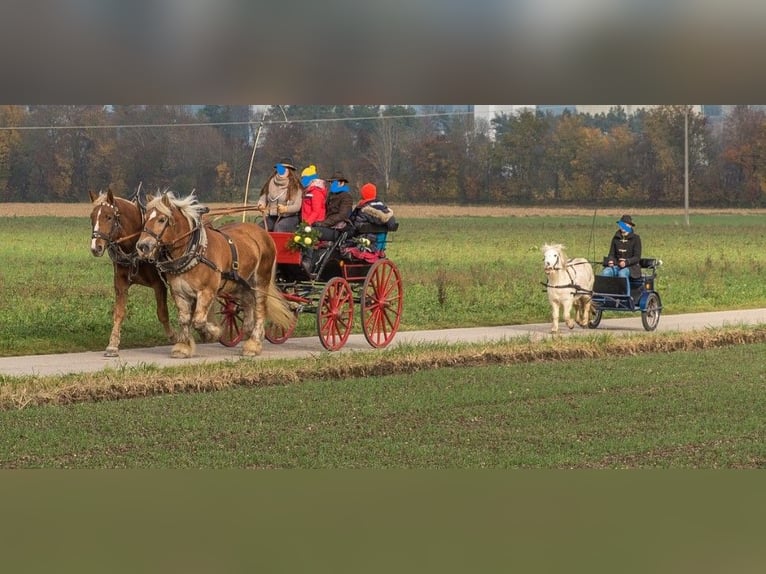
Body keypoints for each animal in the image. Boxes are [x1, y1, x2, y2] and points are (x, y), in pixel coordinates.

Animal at [89, 189, 177, 356]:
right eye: (92, 217)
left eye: (109, 217)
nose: (95, 247)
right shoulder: (120, 283)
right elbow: (119, 312)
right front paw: (112, 344)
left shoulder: (159, 284)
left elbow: (162, 313)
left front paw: (174, 338)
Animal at [135, 191, 294, 358]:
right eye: (145, 218)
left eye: (161, 219)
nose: (142, 246)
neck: (194, 252)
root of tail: (263, 233)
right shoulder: (179, 293)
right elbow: (184, 320)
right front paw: (183, 347)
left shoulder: (206, 291)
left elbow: (198, 320)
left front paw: (212, 333)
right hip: (239, 284)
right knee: (248, 303)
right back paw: (248, 332)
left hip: (261, 281)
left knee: (260, 309)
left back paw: (254, 343)